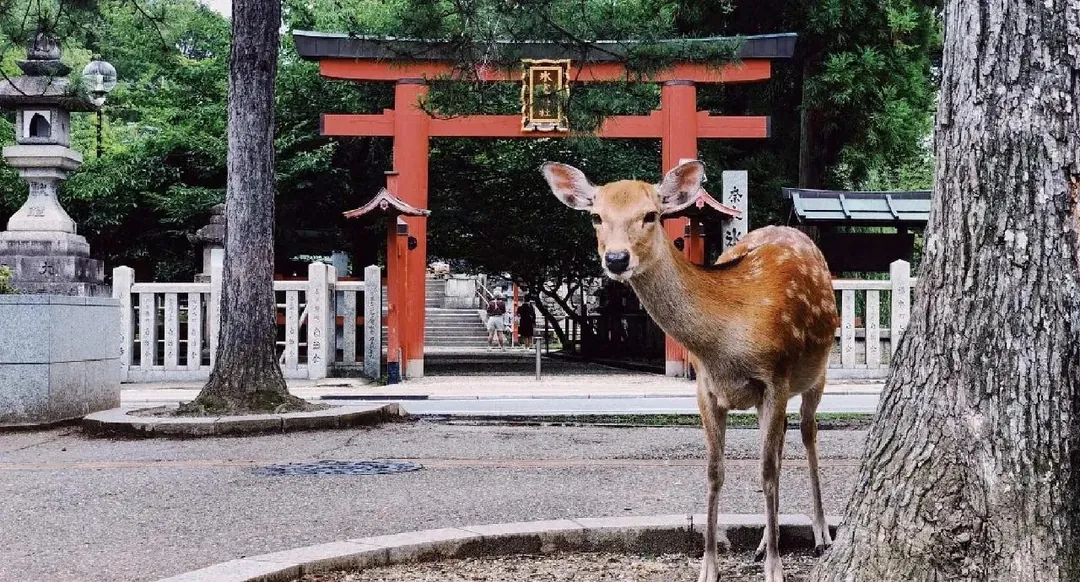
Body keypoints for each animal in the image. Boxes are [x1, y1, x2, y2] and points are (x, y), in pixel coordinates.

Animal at [541, 160, 838, 582]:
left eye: (651, 215)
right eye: (596, 216)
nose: (616, 259)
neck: (725, 343)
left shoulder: (775, 377)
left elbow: (765, 471)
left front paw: (775, 570)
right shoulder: (706, 388)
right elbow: (716, 471)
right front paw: (709, 567)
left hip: (818, 369)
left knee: (808, 432)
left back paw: (820, 535)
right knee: (782, 441)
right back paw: (765, 541)